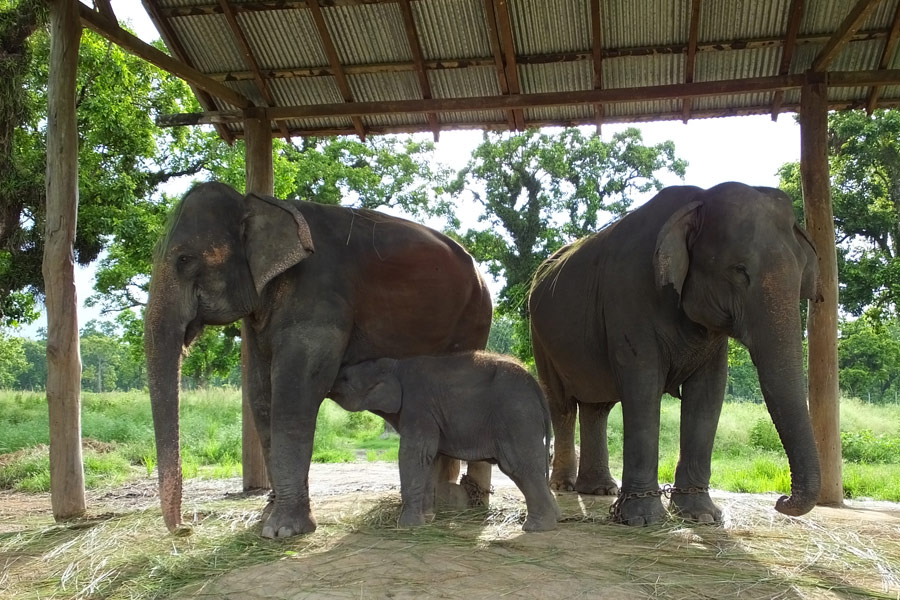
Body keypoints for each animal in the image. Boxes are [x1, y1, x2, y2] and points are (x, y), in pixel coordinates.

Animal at [145, 180, 492, 536]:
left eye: (184, 259)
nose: (185, 528)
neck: (257, 204)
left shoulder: (320, 301)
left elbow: (295, 393)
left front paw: (282, 531)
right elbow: (260, 393)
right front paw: (267, 517)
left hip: (473, 318)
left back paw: (456, 503)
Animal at [326, 352, 560, 528]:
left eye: (345, 378)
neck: (395, 365)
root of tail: (538, 388)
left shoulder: (418, 405)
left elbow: (415, 454)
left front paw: (408, 527)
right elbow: (431, 458)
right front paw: (428, 520)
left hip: (516, 417)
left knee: (518, 466)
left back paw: (536, 527)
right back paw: (553, 519)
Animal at [536, 182, 824, 524]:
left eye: (802, 275)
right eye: (739, 270)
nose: (781, 500)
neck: (698, 200)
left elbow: (708, 393)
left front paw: (702, 517)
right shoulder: (628, 297)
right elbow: (643, 386)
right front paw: (644, 520)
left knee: (597, 407)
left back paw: (599, 490)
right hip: (541, 338)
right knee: (563, 406)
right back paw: (563, 486)